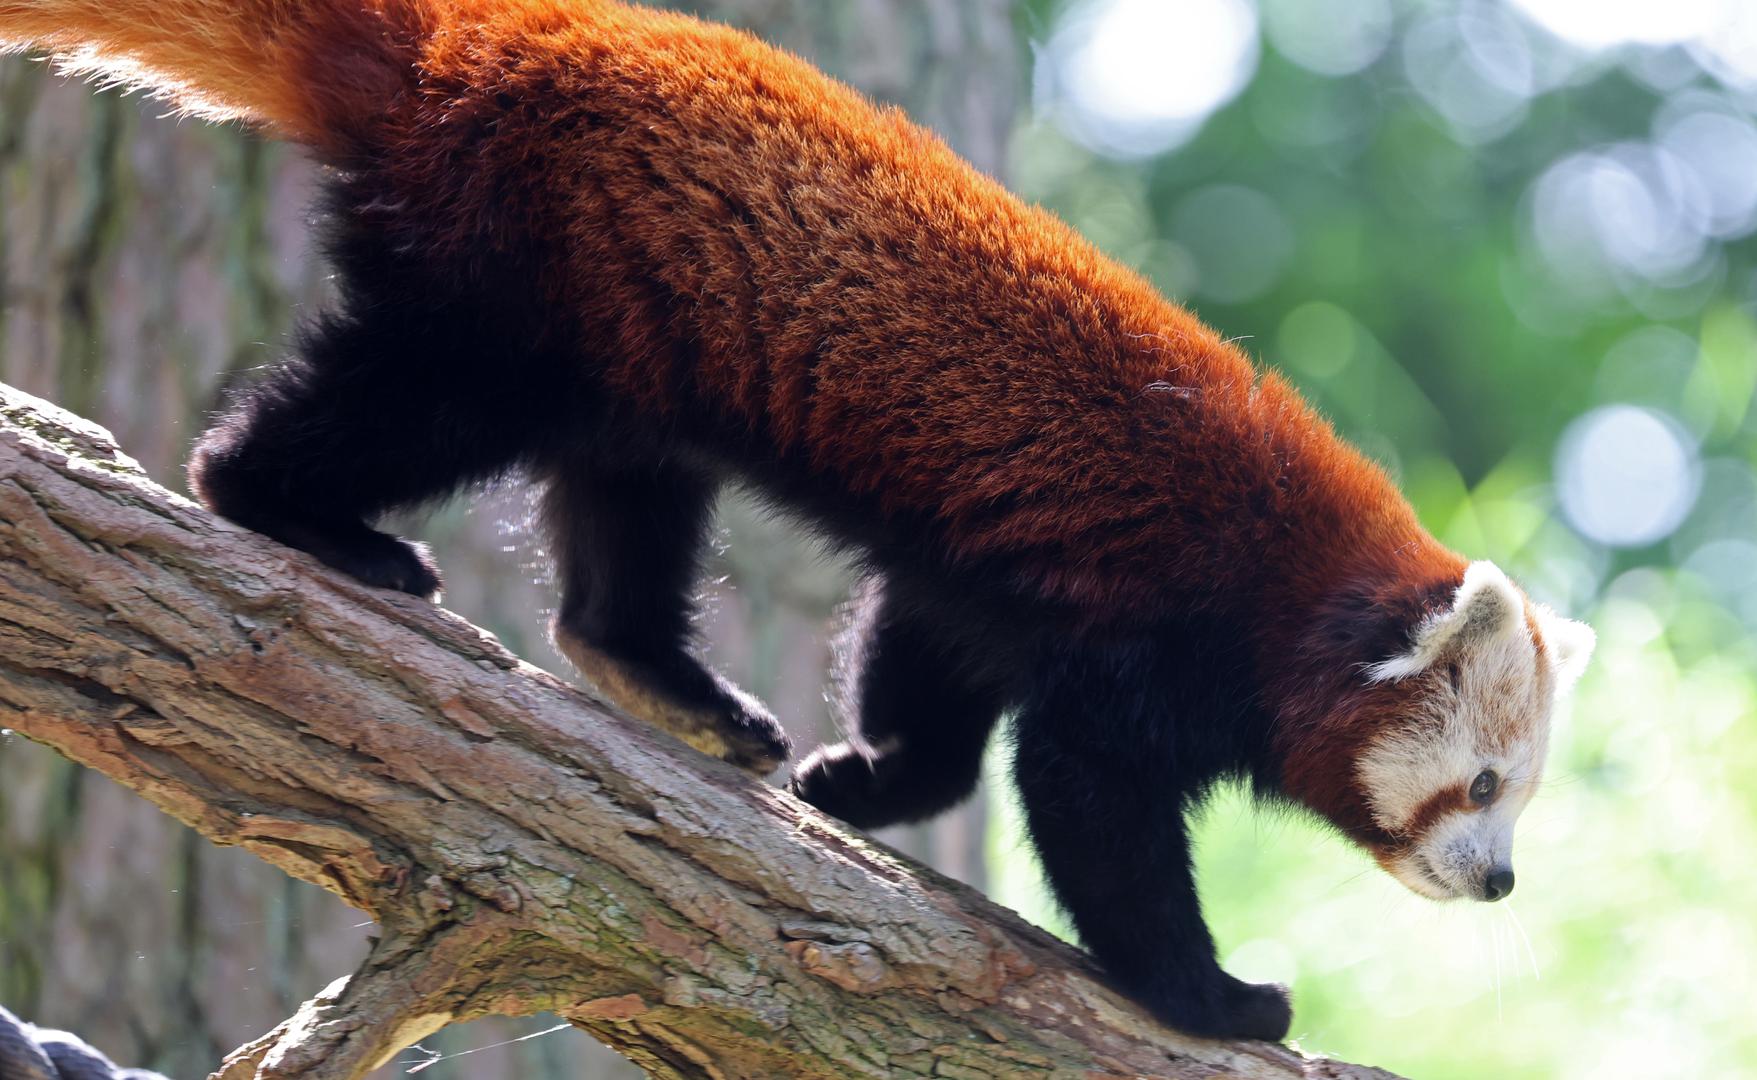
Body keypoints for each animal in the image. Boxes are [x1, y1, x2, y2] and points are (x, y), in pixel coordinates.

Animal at [0, 0, 1595, 1046]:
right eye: (1481, 786)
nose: (1503, 882)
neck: (1288, 588)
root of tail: (471, 30)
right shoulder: (1151, 616)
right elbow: (1090, 807)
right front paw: (1209, 997)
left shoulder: (997, 567)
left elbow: (930, 666)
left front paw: (863, 780)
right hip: (522, 276)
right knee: (411, 400)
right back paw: (286, 506)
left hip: (627, 341)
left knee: (621, 510)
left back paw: (664, 679)